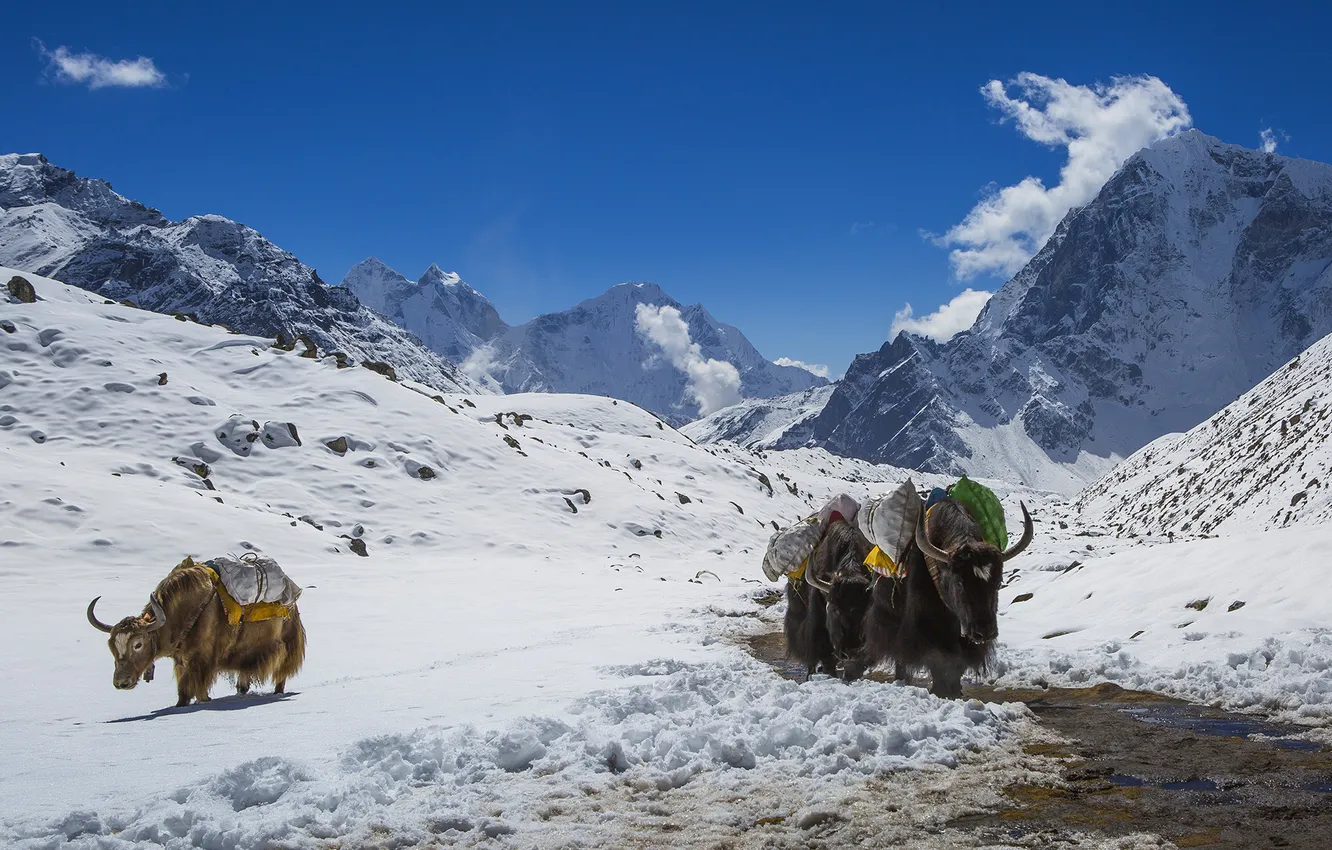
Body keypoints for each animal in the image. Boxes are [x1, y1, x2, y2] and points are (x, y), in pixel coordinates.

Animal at [86, 560, 305, 707]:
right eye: (112, 646)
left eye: (138, 644)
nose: (121, 682)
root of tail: (292, 603)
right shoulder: (182, 662)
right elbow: (183, 693)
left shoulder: (202, 661)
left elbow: (198, 691)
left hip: (285, 643)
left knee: (281, 674)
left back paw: (277, 691)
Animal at [848, 498, 1033, 697]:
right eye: (959, 583)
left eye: (998, 583)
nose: (984, 632)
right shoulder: (926, 625)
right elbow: (937, 658)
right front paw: (940, 690)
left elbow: (958, 662)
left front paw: (956, 690)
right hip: (887, 615)